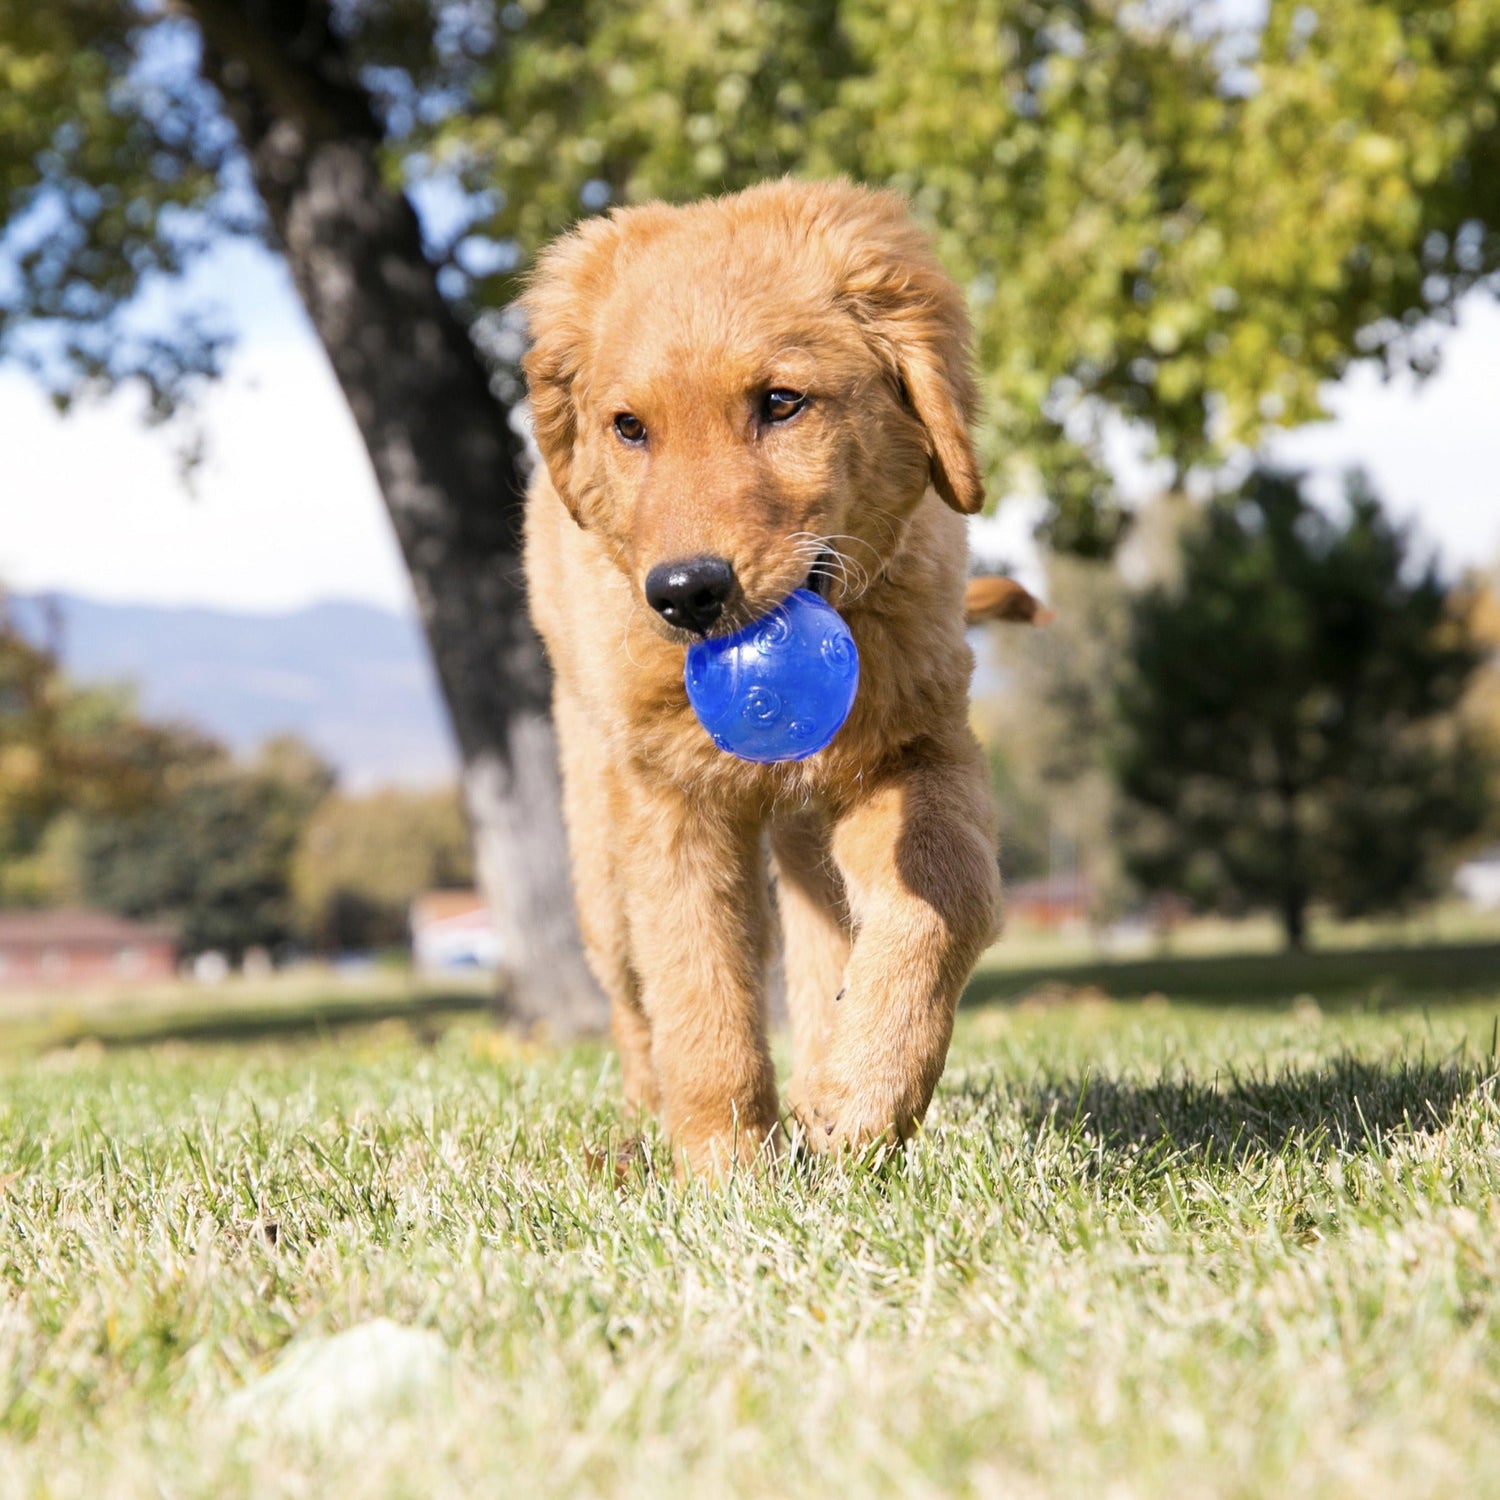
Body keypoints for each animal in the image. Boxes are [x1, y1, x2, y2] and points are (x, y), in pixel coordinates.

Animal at [525, 178, 1032, 1170]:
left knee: (826, 935)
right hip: (597, 844)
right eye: (630, 428)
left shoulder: (917, 742)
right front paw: (724, 1169)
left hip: (808, 828)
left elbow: (945, 896)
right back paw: (641, 1125)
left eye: (782, 402)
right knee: (634, 1000)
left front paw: (865, 1095)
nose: (685, 593)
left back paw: (824, 1087)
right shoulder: (668, 798)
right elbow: (700, 989)